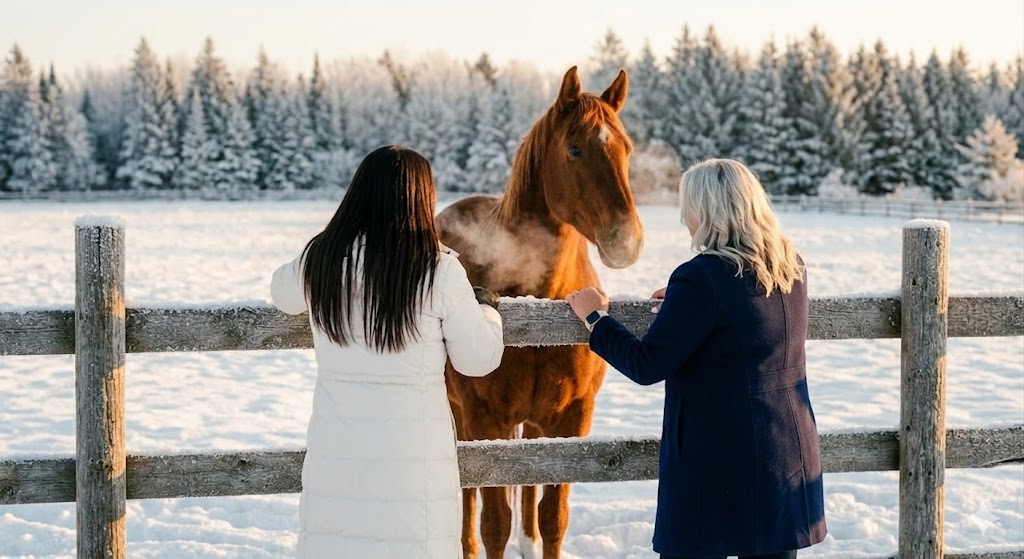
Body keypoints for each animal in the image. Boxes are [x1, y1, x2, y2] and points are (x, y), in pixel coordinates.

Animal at [437, 66, 644, 559]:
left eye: (627, 148)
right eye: (575, 148)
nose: (626, 241)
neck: (539, 311)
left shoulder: (572, 420)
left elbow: (554, 518)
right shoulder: (486, 421)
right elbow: (494, 522)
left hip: (533, 423)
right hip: (461, 416)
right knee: (468, 491)